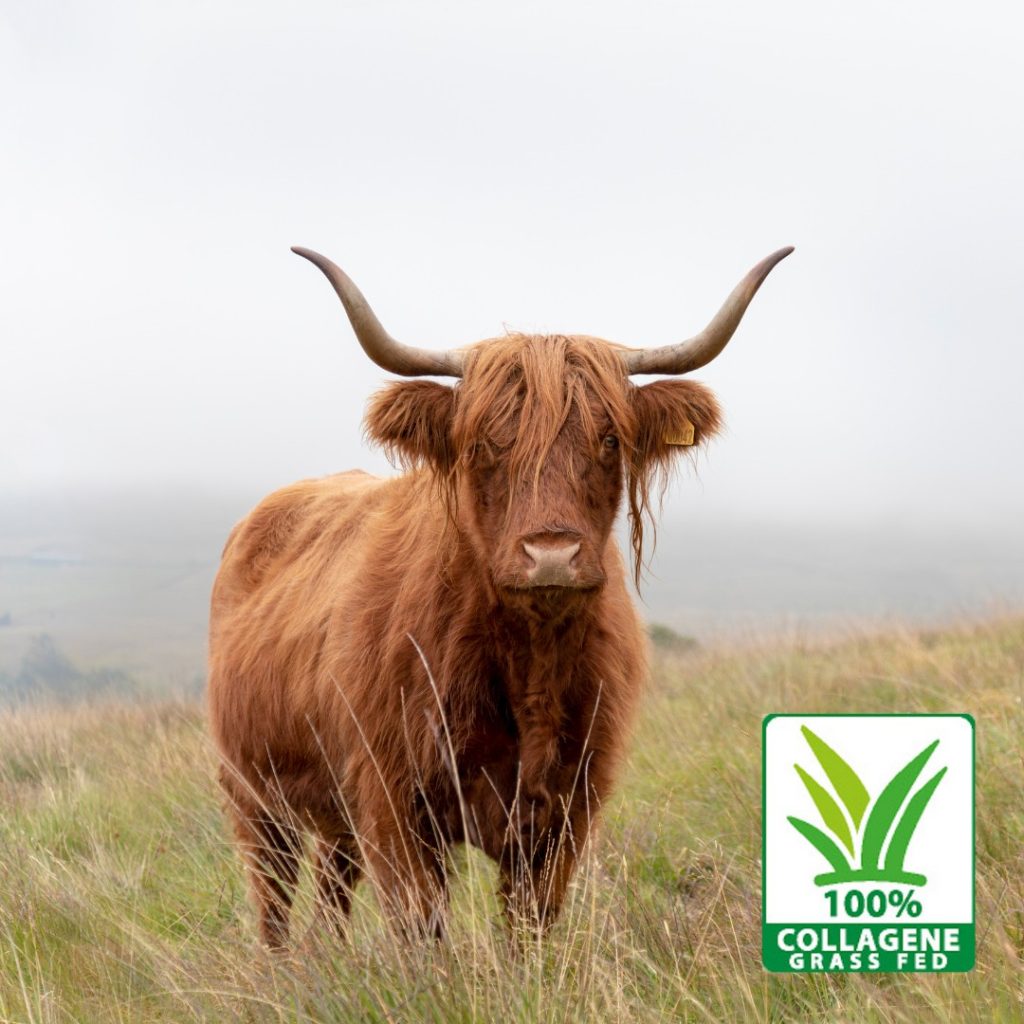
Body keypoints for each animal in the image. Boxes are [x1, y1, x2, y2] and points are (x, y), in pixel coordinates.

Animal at [207, 244, 792, 947]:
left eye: (609, 439)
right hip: (253, 792)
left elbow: (529, 930)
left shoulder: (567, 810)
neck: (528, 661)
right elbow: (421, 929)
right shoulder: (392, 799)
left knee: (330, 892)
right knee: (273, 901)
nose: (552, 555)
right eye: (486, 443)